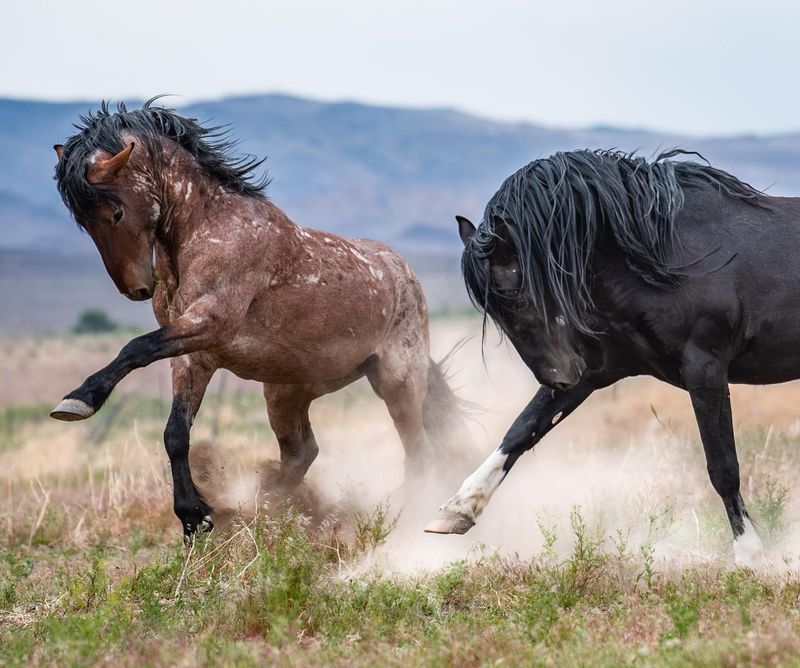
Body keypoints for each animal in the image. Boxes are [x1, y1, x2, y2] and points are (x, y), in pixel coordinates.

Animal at [53, 100, 466, 536]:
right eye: (83, 222)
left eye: (115, 212)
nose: (136, 288)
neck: (207, 230)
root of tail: (404, 273)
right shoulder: (193, 355)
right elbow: (175, 433)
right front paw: (193, 516)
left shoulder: (210, 324)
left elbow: (135, 348)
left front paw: (79, 400)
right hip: (286, 392)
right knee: (303, 452)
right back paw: (266, 506)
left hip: (397, 382)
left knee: (417, 453)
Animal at [424, 149, 792, 568]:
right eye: (495, 312)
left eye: (516, 298)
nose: (558, 376)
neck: (665, 258)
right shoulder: (599, 370)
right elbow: (522, 429)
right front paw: (458, 509)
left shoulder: (705, 369)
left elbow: (723, 466)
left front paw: (749, 555)